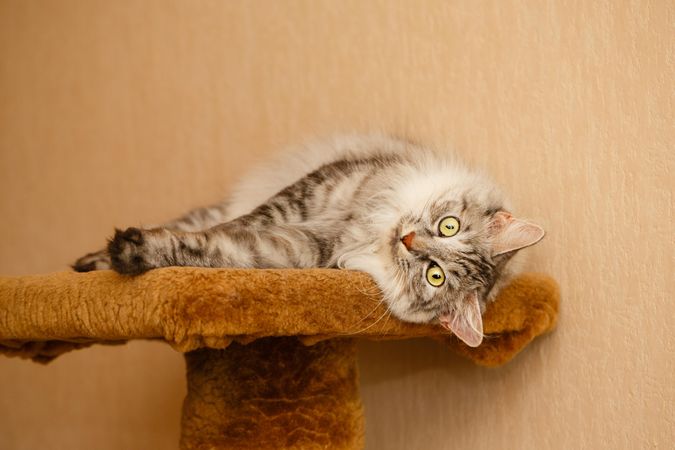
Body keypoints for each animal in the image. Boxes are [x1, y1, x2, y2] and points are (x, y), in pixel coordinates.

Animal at [74, 135, 548, 346]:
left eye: (435, 276)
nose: (409, 240)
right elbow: (235, 225)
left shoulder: (299, 251)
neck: (367, 234)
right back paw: (85, 263)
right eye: (449, 226)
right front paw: (117, 254)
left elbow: (220, 249)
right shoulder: (313, 191)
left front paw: (140, 254)